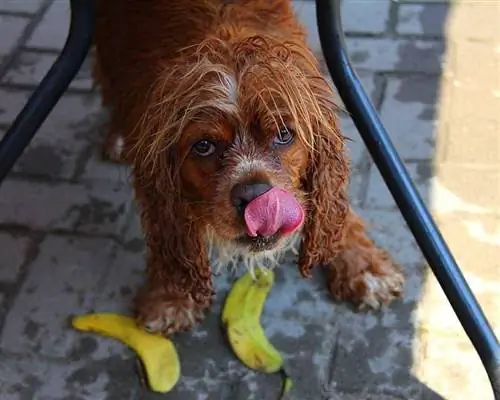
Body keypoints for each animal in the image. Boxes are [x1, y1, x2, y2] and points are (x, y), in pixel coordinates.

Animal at [92, 0, 404, 334]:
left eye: (284, 134)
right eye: (203, 146)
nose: (255, 196)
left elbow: (335, 207)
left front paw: (363, 264)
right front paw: (170, 294)